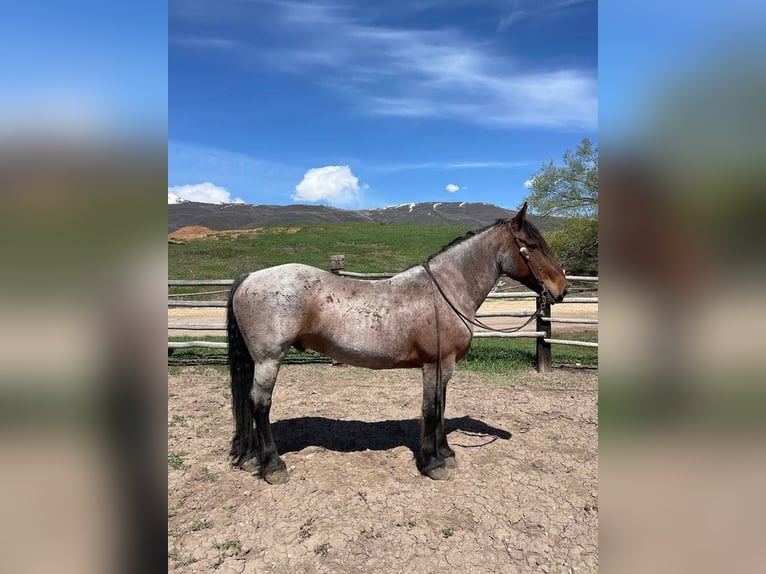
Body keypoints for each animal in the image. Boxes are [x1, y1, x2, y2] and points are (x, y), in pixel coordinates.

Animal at [225, 204, 568, 486]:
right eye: (533, 246)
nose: (562, 289)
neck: (445, 290)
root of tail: (250, 277)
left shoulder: (444, 366)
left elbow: (442, 405)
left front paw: (446, 452)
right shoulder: (436, 363)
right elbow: (432, 407)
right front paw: (433, 463)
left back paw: (251, 458)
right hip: (269, 359)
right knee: (260, 404)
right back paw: (273, 466)